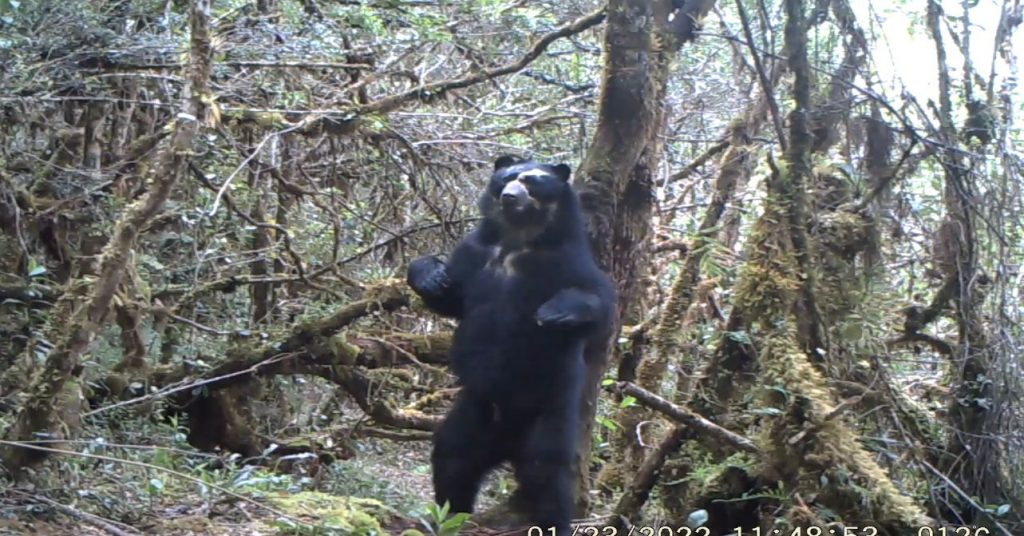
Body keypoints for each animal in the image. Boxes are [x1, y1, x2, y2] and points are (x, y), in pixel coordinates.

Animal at [406, 155, 616, 535]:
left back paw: (554, 521)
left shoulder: (566, 261)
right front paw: (429, 274)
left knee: (548, 474)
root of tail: (507, 442)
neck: (517, 240)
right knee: (452, 456)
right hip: (475, 412)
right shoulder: (474, 254)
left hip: (548, 414)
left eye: (532, 180)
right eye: (505, 177)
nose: (509, 195)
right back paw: (448, 515)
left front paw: (556, 311)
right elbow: (453, 298)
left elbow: (601, 306)